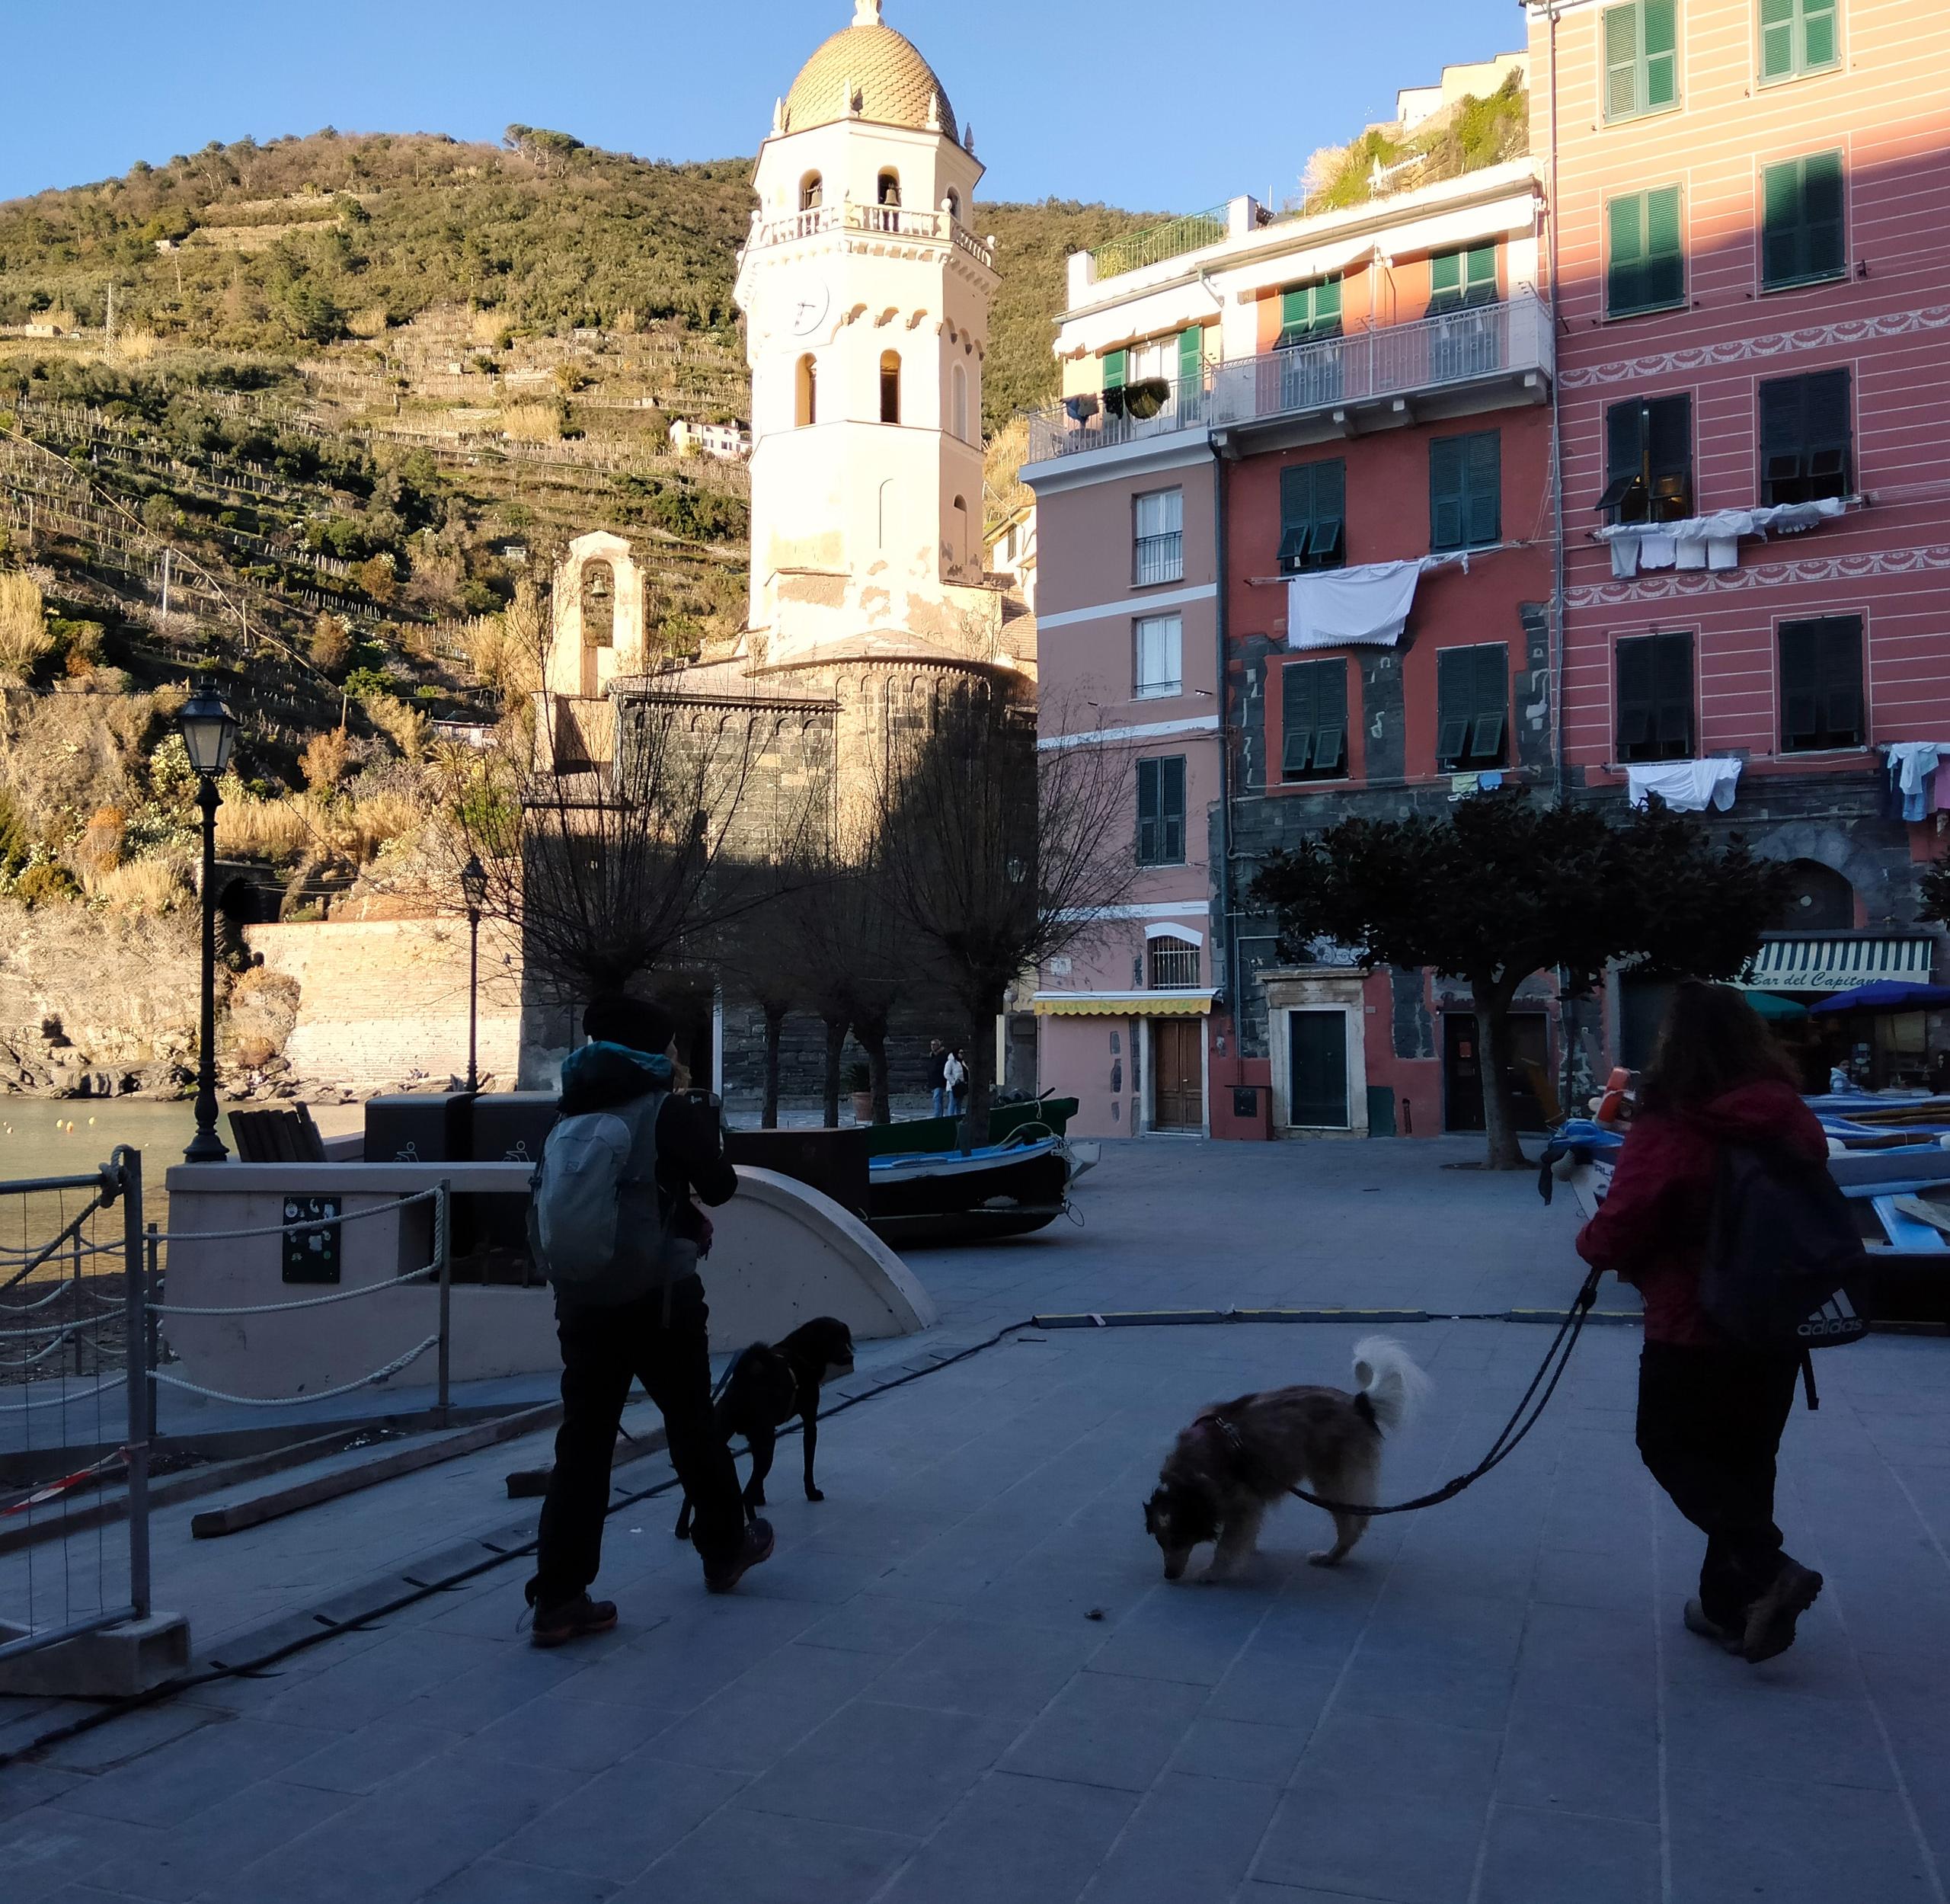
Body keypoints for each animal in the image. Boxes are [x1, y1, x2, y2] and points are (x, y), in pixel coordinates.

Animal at [670, 1318, 854, 1537]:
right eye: (831, 1338)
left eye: (844, 1337)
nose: (849, 1356)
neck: (801, 1352)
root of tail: (741, 1386)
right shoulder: (809, 1422)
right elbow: (808, 1464)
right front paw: (812, 1492)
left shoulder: (758, 1438)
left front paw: (761, 1497)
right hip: (767, 1445)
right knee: (744, 1495)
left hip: (719, 1436)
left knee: (693, 1489)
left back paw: (682, 1528)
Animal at [1139, 1334, 1435, 1584]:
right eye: (1160, 1541)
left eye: (1180, 1538)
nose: (1169, 1576)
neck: (1190, 1475)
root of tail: (1358, 1403)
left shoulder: (1241, 1502)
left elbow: (1227, 1546)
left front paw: (1213, 1573)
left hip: (1332, 1481)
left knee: (1354, 1525)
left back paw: (1330, 1557)